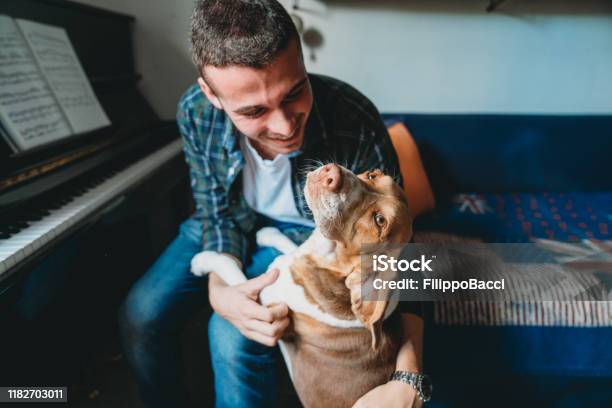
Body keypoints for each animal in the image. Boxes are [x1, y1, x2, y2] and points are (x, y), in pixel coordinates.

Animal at [192, 164, 412, 408]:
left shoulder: (261, 303)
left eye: (379, 220)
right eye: (373, 175)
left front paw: (203, 261)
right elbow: (288, 245)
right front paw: (269, 234)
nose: (332, 174)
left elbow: (230, 269)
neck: (327, 259)